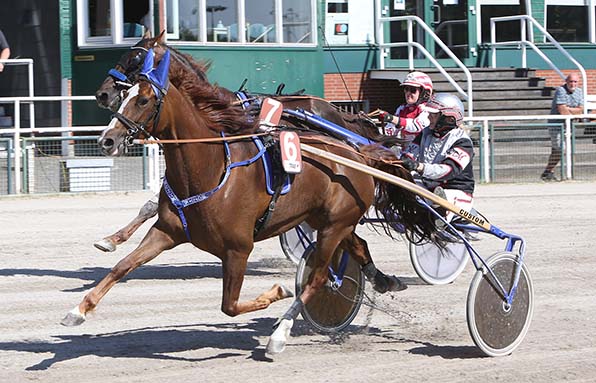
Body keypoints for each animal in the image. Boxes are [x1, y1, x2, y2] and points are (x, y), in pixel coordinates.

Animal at [92, 31, 382, 254]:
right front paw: (111, 239)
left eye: (135, 58)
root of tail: (338, 112)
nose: (102, 94)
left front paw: (112, 239)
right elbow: (151, 205)